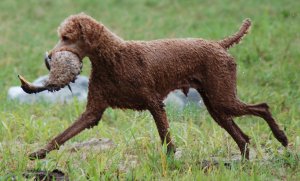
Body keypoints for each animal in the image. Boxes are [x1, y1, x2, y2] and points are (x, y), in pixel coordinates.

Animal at [28, 13, 288, 160]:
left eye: (67, 37)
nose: (49, 56)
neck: (114, 57)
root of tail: (219, 44)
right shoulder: (93, 112)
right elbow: (61, 136)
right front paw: (38, 154)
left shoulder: (155, 104)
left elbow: (166, 138)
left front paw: (171, 161)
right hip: (217, 106)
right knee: (243, 138)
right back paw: (244, 163)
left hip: (223, 99)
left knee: (263, 107)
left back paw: (282, 138)